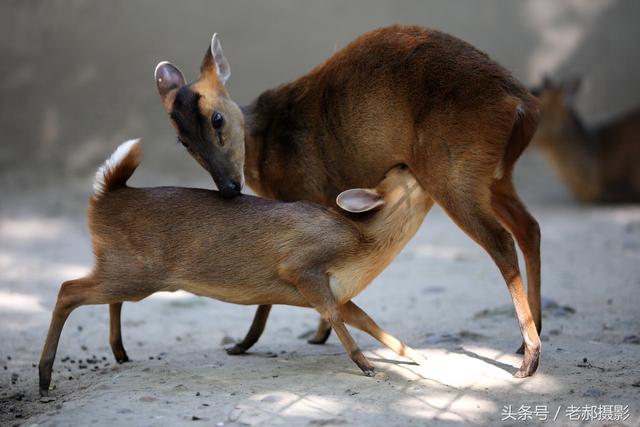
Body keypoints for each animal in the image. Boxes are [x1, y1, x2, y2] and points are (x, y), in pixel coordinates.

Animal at [38, 140, 430, 398]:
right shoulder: (301, 267)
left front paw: (416, 355)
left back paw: (119, 353)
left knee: (106, 298)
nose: (408, 160)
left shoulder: (336, 292)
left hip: (125, 269)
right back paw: (44, 379)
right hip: (136, 273)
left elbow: (369, 321)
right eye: (402, 169)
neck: (361, 242)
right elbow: (337, 318)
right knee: (67, 289)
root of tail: (103, 196)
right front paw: (366, 366)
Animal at [154, 25, 540, 378]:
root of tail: (521, 103)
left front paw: (245, 343)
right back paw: (527, 339)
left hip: (453, 172)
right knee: (529, 228)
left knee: (501, 242)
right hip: (494, 176)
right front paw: (317, 334)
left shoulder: (304, 194)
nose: (229, 188)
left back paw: (529, 357)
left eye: (217, 118)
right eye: (183, 140)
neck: (264, 148)